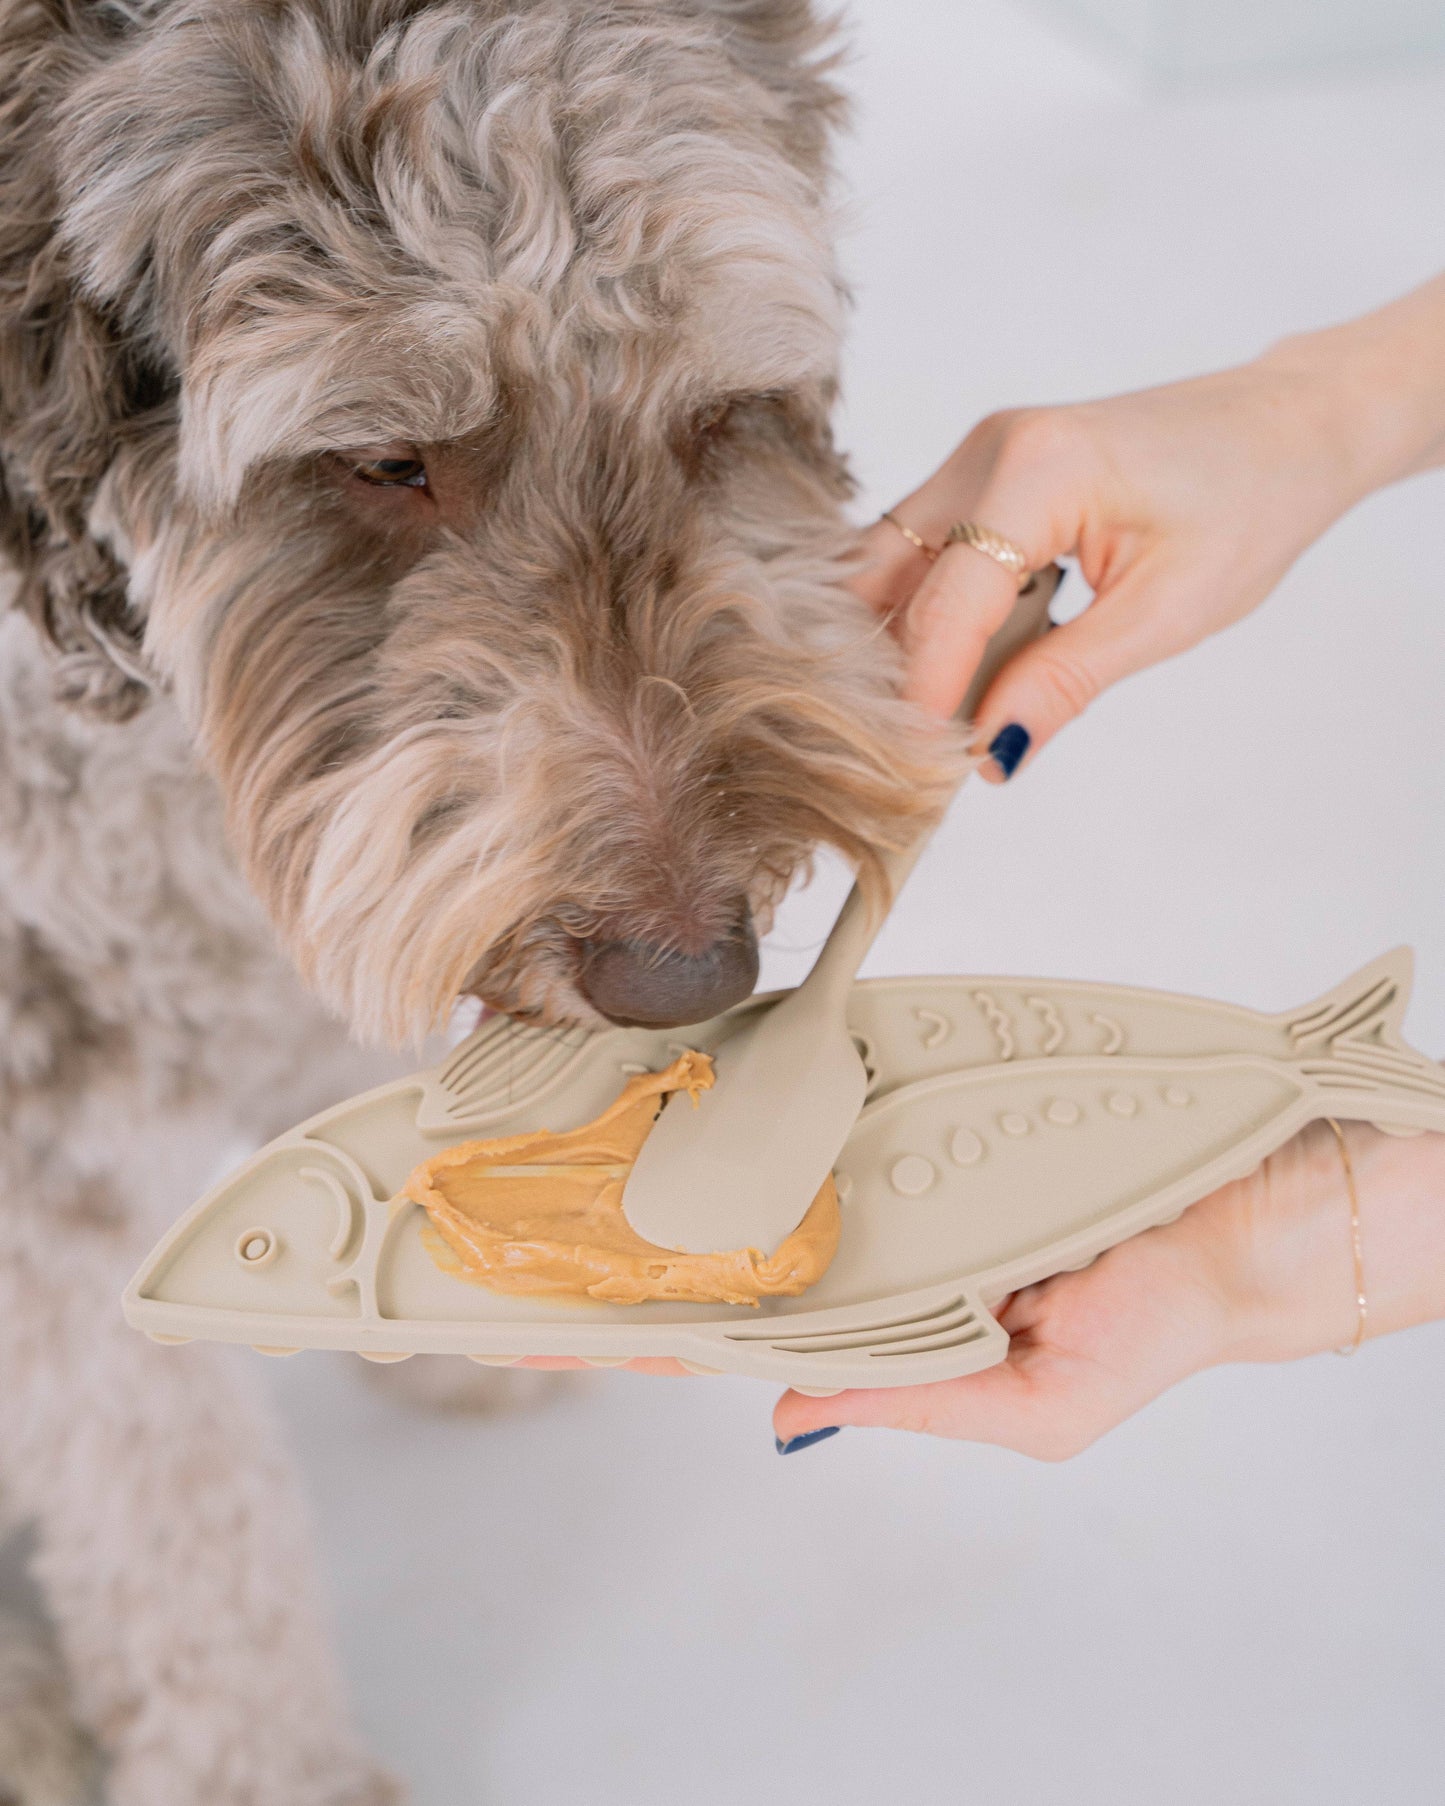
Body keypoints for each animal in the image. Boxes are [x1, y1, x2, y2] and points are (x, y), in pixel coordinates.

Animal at [2, 3, 960, 1806]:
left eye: (717, 412)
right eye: (386, 459)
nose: (687, 969)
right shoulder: (45, 1144)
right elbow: (177, 1503)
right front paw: (270, 1763)